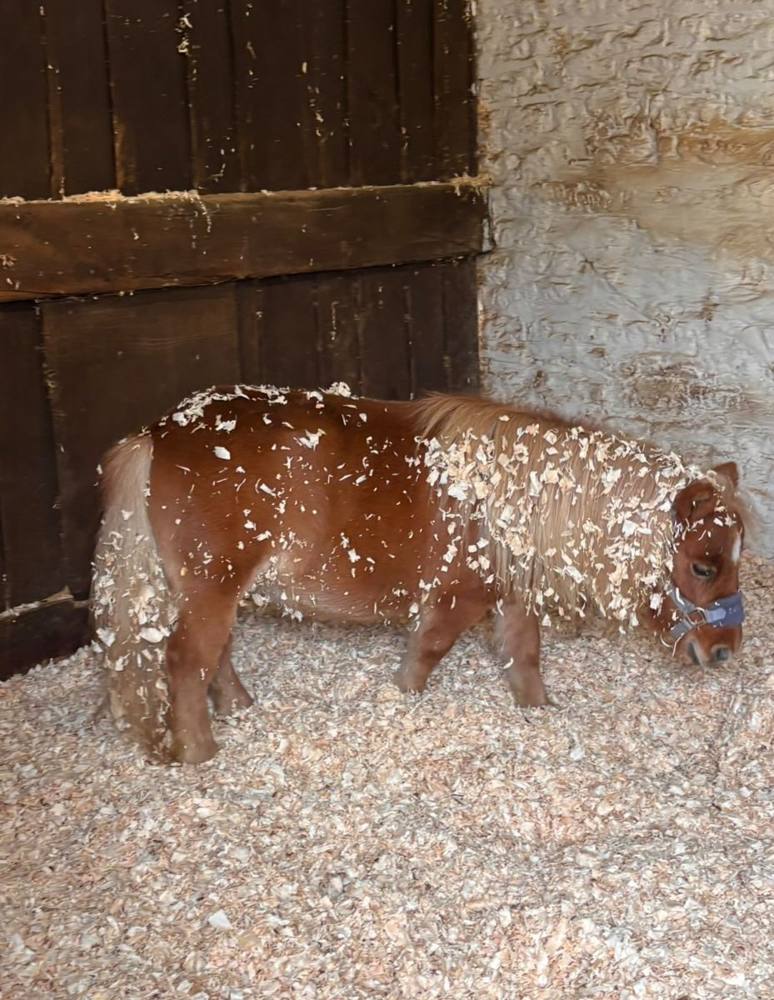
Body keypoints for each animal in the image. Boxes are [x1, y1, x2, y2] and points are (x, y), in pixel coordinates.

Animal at [92, 384, 747, 763]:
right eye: (703, 564)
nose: (724, 650)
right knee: (186, 662)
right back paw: (201, 753)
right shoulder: (458, 601)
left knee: (215, 657)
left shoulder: (509, 597)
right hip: (213, 587)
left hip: (221, 592)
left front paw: (539, 713)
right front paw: (401, 701)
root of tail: (158, 434)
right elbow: (425, 657)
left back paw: (239, 707)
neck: (518, 495)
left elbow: (525, 660)